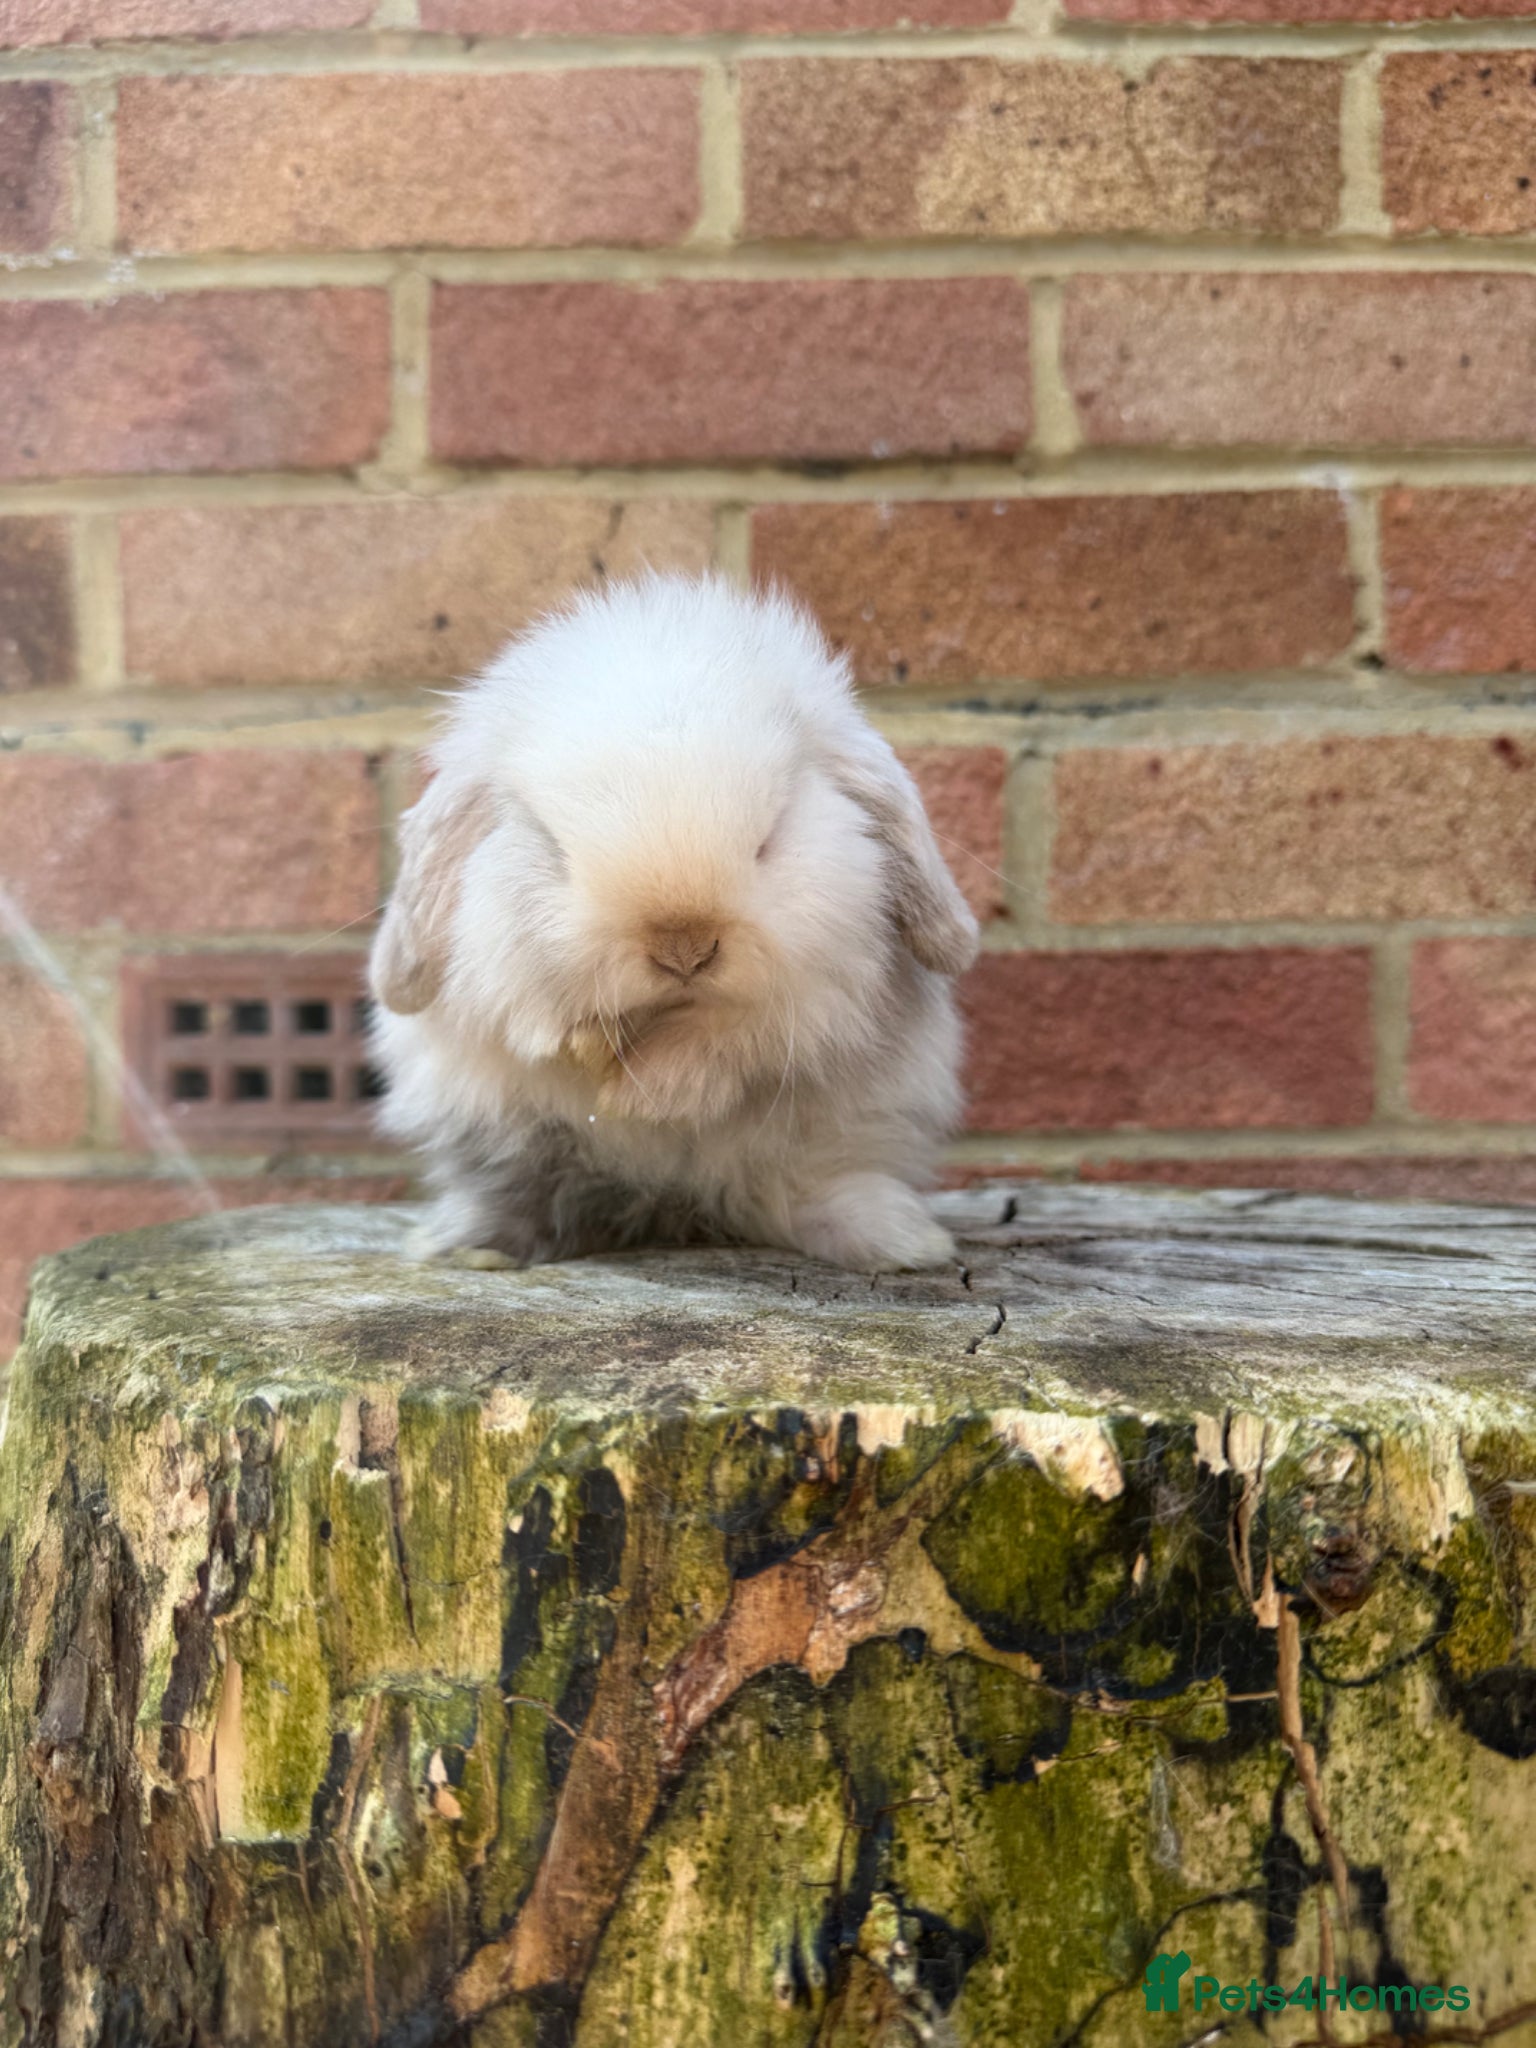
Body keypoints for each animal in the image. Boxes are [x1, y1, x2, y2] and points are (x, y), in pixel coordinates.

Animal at [368, 572, 979, 1273]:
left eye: (769, 837)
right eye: (554, 847)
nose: (684, 948)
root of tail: (677, 1205)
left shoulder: (816, 997)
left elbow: (734, 1039)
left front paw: (652, 1093)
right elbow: (540, 1025)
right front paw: (594, 1052)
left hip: (843, 1133)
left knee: (805, 1186)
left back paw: (899, 1240)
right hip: (498, 1132)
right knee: (527, 1190)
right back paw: (470, 1245)